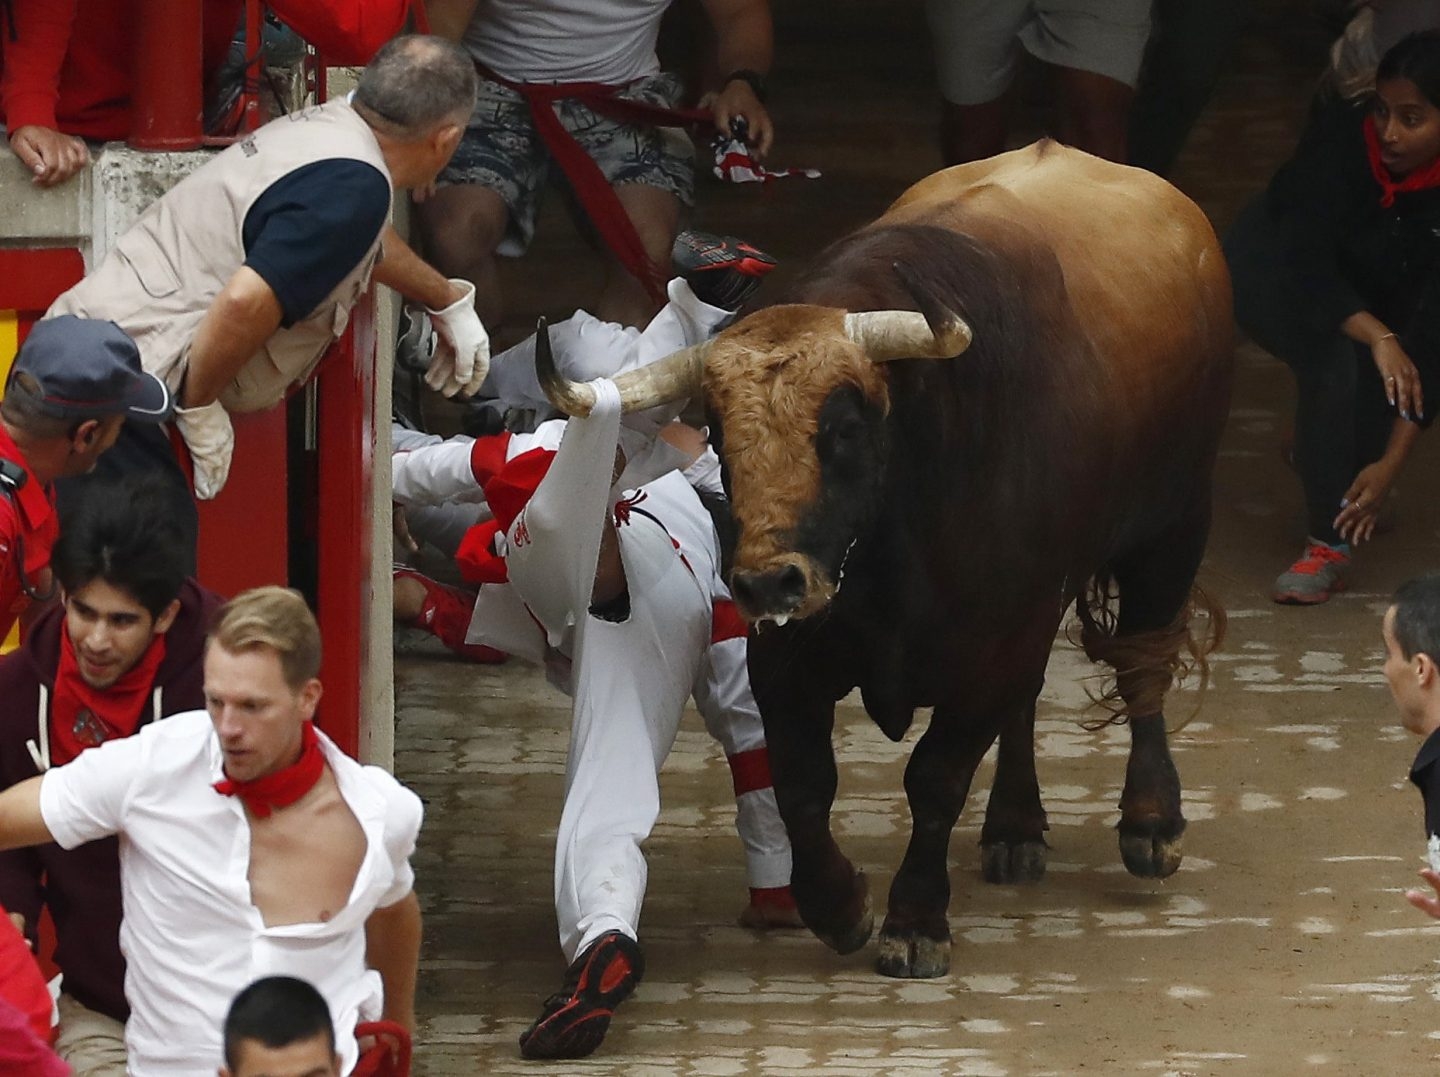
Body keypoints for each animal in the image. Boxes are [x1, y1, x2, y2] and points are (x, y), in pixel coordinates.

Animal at [535, 141, 1232, 973]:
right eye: (720, 436)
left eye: (843, 429)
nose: (768, 579)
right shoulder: (787, 659)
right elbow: (803, 785)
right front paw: (838, 905)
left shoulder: (994, 644)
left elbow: (935, 779)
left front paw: (916, 919)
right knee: (1035, 699)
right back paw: (1015, 827)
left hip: (1175, 525)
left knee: (1142, 661)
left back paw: (1150, 819)